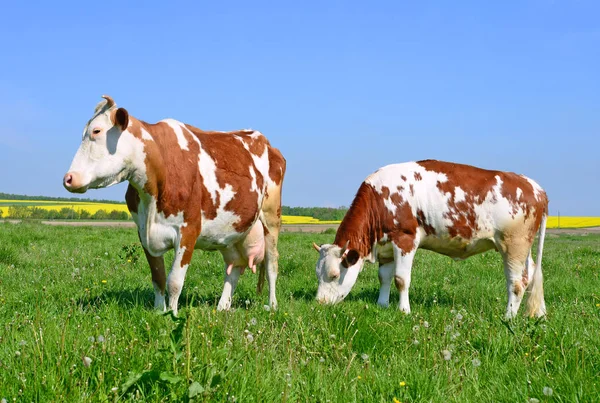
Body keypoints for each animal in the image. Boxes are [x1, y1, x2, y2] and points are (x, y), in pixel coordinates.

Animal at [62, 95, 286, 316]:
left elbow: (174, 281)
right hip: (231, 231)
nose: (68, 179)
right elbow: (158, 278)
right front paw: (158, 313)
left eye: (96, 131)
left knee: (272, 264)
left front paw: (172, 314)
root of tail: (267, 143)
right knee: (234, 267)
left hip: (271, 217)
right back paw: (223, 307)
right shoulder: (144, 232)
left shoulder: (189, 230)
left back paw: (273, 305)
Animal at [314, 159, 548, 320]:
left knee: (517, 282)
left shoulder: (405, 239)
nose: (319, 303)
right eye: (317, 274)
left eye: (334, 275)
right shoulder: (386, 246)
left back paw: (508, 317)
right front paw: (382, 305)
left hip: (514, 244)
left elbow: (401, 279)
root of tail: (535, 187)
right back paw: (536, 314)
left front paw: (404, 310)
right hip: (523, 247)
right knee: (530, 275)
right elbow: (384, 277)